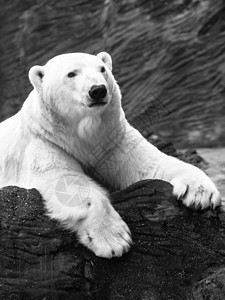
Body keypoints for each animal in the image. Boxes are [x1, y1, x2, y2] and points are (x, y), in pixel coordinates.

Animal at [0, 51, 221, 258]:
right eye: (71, 73)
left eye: (102, 69)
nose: (98, 90)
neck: (83, 136)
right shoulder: (46, 141)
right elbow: (65, 181)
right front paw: (112, 240)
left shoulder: (112, 139)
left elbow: (151, 165)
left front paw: (200, 193)